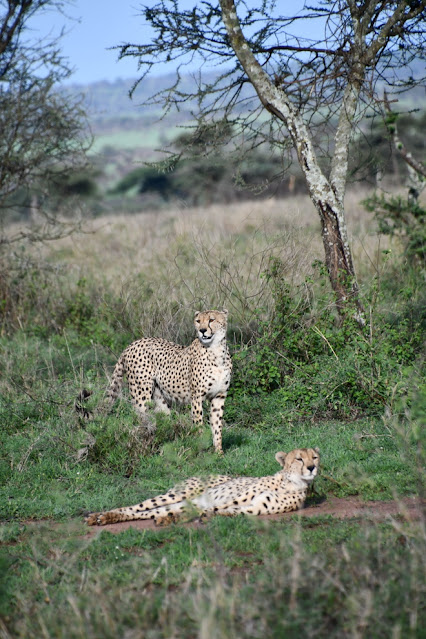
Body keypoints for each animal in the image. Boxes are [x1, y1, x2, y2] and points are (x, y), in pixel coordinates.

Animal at [86, 448, 320, 528]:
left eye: (315, 457)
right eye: (299, 458)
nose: (312, 467)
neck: (291, 482)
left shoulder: (251, 508)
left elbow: (218, 512)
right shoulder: (233, 499)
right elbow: (212, 509)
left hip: (178, 502)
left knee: (151, 513)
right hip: (177, 495)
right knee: (137, 507)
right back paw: (100, 516)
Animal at [108, 310, 231, 456]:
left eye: (211, 320)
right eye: (198, 321)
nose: (202, 330)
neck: (216, 350)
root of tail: (133, 343)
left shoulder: (219, 396)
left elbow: (217, 426)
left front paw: (219, 452)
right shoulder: (196, 397)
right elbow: (198, 424)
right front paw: (202, 450)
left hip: (160, 398)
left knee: (162, 421)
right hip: (141, 394)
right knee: (140, 419)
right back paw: (142, 446)